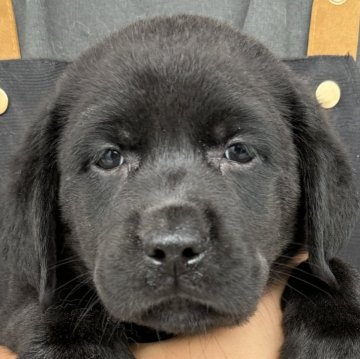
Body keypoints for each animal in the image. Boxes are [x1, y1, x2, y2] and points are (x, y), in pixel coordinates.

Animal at [0, 14, 360, 359]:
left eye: (239, 151)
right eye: (109, 157)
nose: (173, 247)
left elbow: (324, 268)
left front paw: (336, 331)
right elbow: (50, 295)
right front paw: (75, 345)